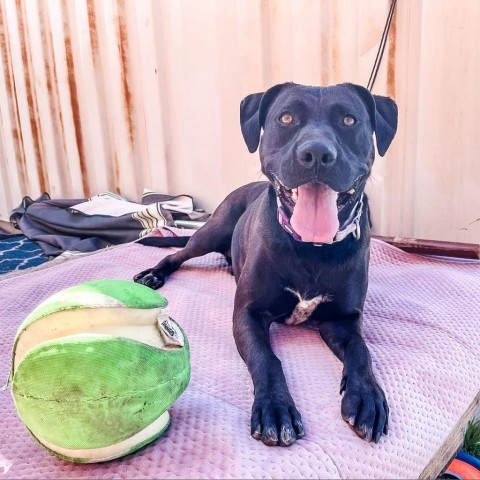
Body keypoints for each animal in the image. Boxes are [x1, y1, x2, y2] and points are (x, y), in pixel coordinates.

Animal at [135, 82, 398, 446]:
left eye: (349, 120)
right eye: (286, 118)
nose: (317, 153)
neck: (312, 248)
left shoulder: (343, 320)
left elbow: (362, 351)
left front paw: (368, 396)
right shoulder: (247, 313)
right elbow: (267, 359)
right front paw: (275, 407)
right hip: (211, 231)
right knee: (177, 254)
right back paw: (155, 274)